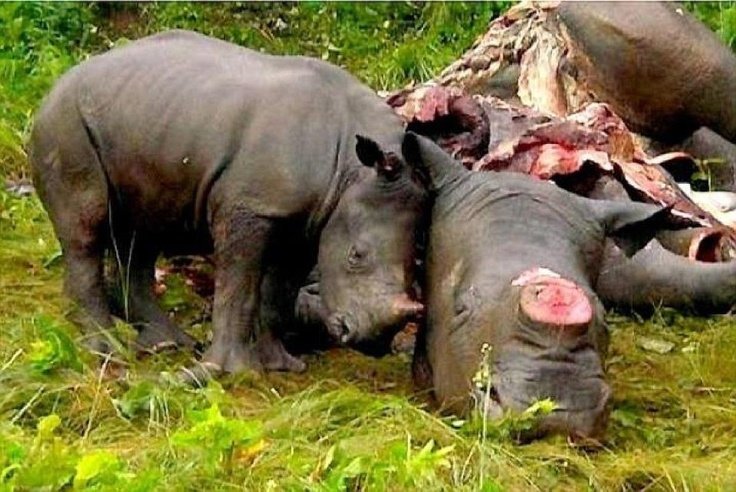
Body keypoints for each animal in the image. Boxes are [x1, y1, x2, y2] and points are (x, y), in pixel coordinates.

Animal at [29, 30, 440, 375]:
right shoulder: (251, 206)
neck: (349, 168)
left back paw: (166, 345)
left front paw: (281, 366)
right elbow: (238, 285)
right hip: (65, 123)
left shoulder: (309, 219)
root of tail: (56, 85)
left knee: (142, 234)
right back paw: (106, 350)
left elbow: (279, 293)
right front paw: (231, 371)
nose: (373, 343)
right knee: (86, 227)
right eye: (356, 256)